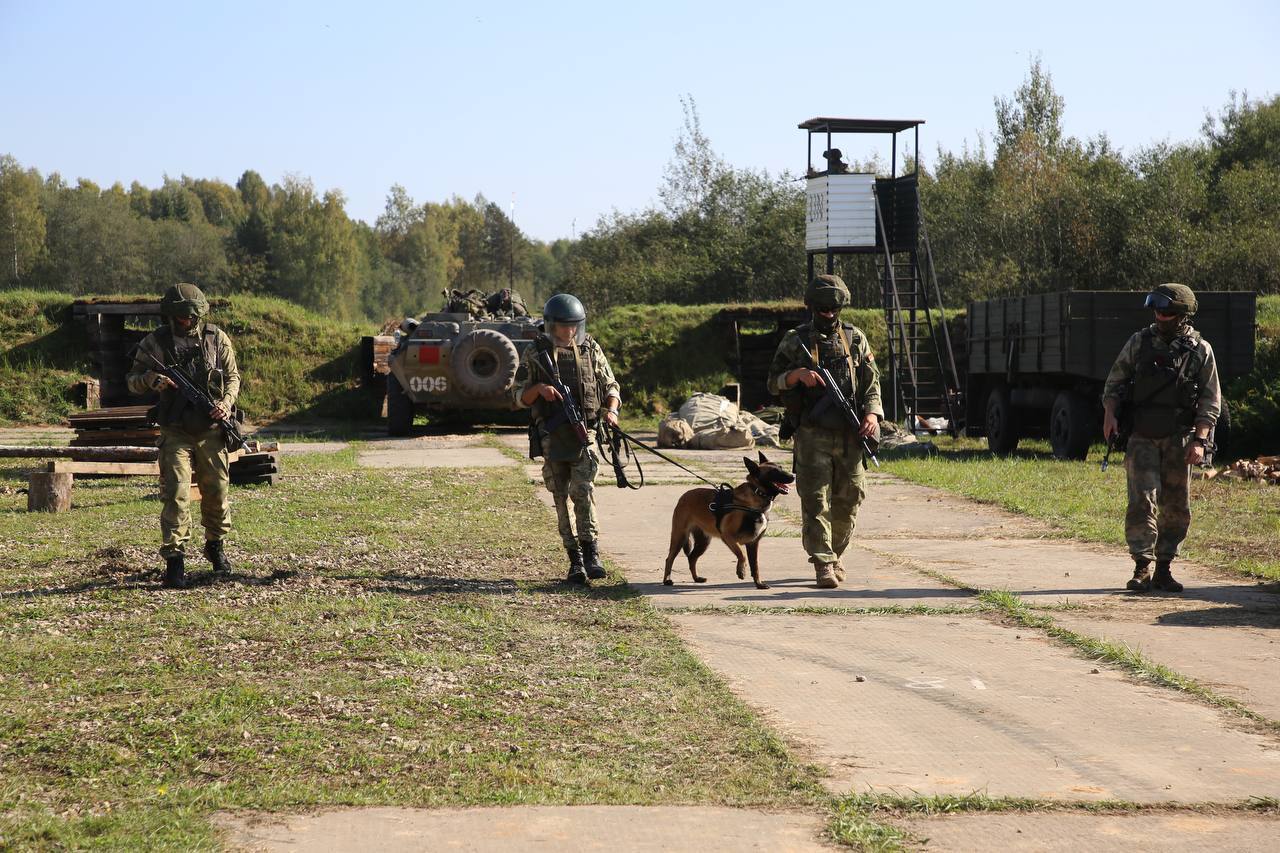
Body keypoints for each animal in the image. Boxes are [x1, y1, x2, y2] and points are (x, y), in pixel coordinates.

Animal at [665, 450, 793, 584]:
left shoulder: (753, 544)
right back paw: (667, 580)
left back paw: (696, 578)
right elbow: (741, 554)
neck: (757, 494)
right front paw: (741, 570)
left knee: (692, 558)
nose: (793, 476)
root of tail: (684, 496)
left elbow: (755, 566)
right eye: (773, 472)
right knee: (670, 558)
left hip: (703, 542)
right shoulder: (728, 536)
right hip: (680, 536)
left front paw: (759, 584)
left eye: (781, 467)